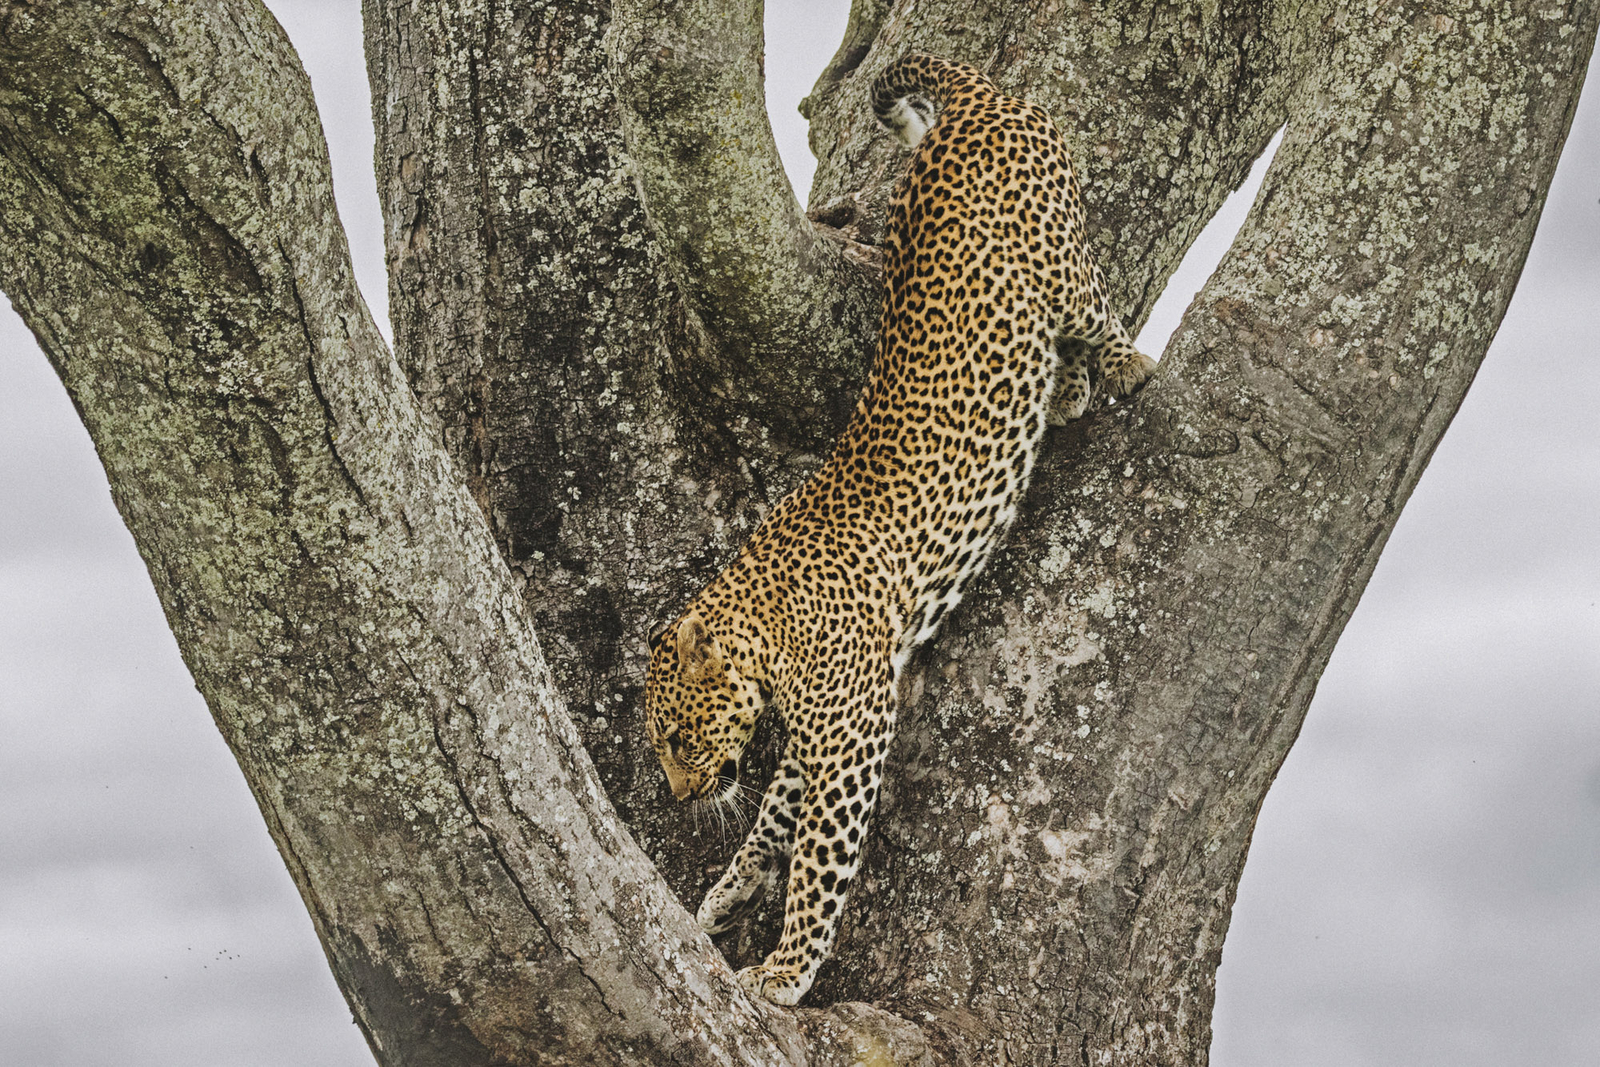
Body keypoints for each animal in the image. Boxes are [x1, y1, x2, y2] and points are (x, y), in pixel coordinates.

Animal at [644, 52, 1156, 1006]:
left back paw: (1124, 365)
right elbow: (772, 815)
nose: (680, 796)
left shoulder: (852, 737)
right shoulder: (816, 740)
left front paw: (785, 969)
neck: (764, 630)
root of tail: (970, 103)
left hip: (1059, 258)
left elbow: (816, 863)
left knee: (1095, 305)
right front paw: (729, 890)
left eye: (677, 739)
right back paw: (1067, 393)